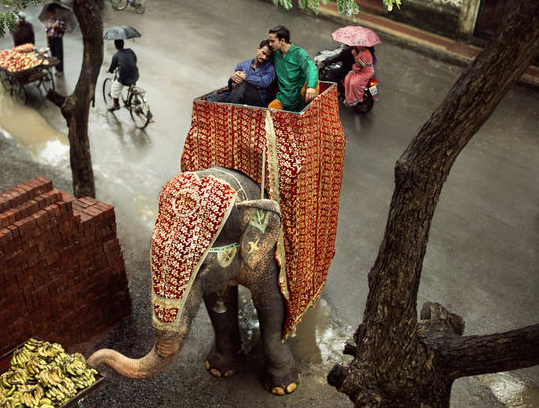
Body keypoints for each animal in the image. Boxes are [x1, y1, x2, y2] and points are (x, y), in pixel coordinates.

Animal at [87, 165, 302, 396]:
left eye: (203, 267)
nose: (92, 364)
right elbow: (219, 305)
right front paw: (219, 370)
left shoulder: (271, 255)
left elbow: (271, 306)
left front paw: (283, 387)